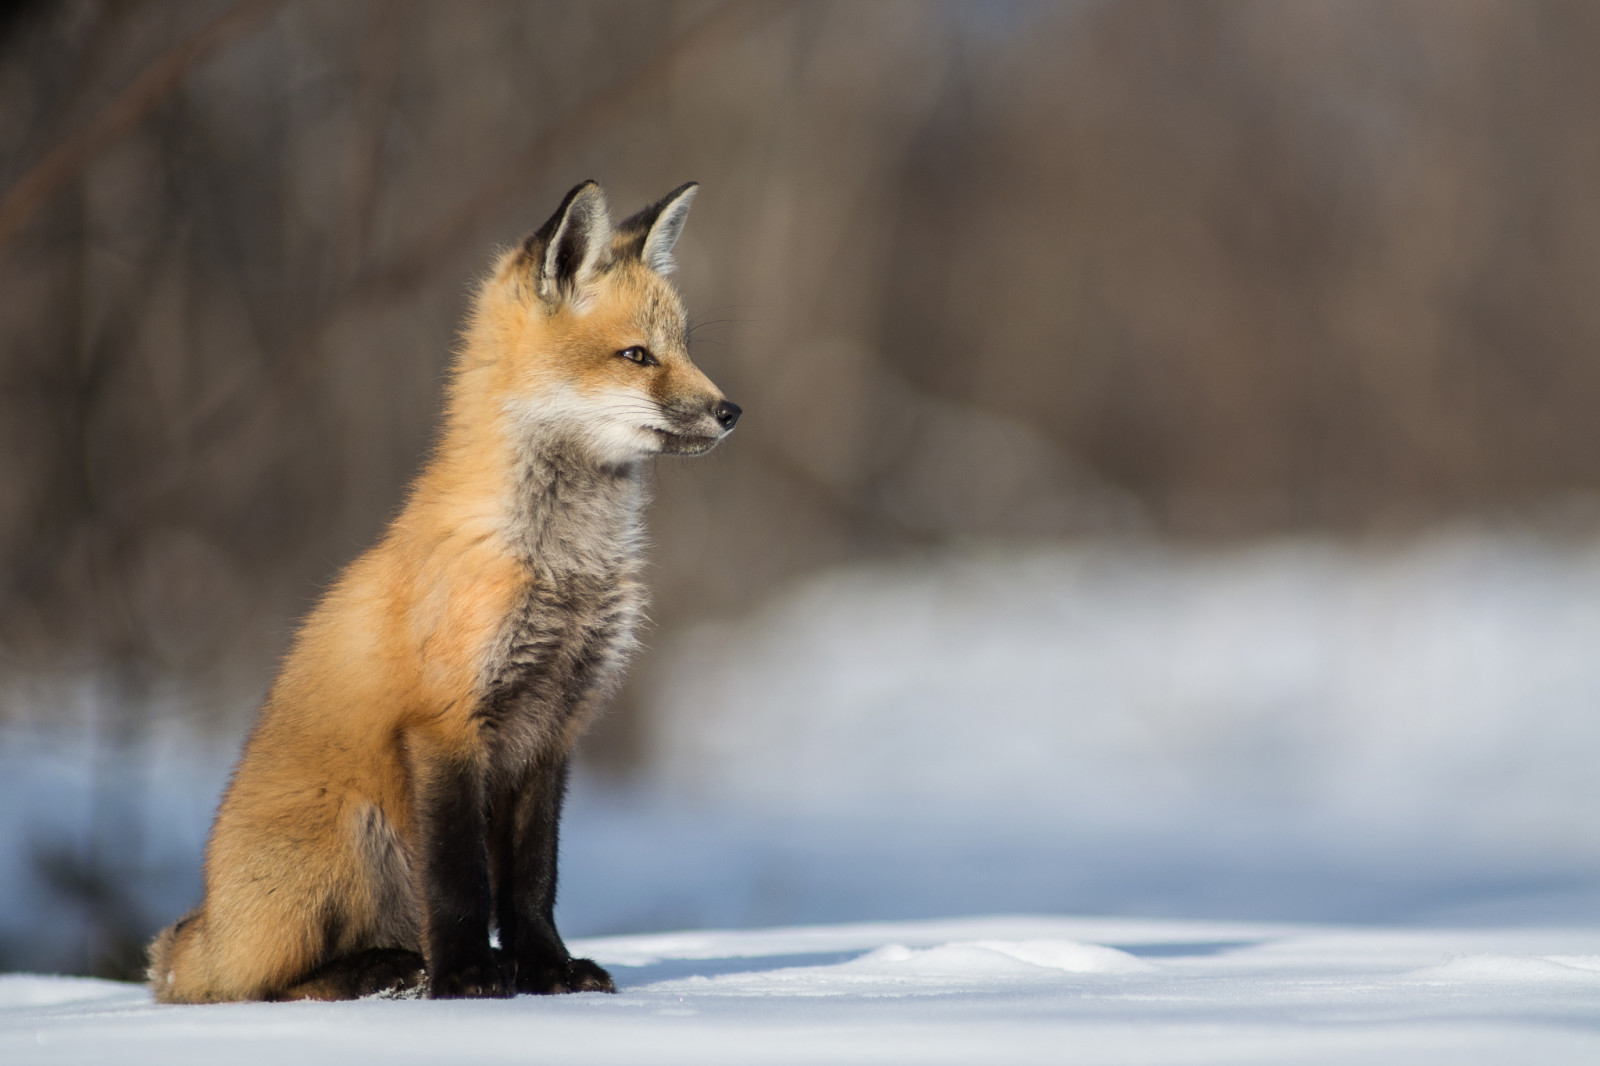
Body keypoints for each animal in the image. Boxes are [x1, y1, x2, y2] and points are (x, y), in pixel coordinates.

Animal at [147, 178, 739, 998]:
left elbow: (531, 881)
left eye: (684, 348)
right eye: (636, 356)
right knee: (267, 986)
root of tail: (201, 929)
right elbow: (461, 880)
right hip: (350, 837)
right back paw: (388, 969)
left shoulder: (553, 730)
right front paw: (466, 977)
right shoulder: (447, 724)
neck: (563, 567)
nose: (731, 411)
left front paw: (545, 968)